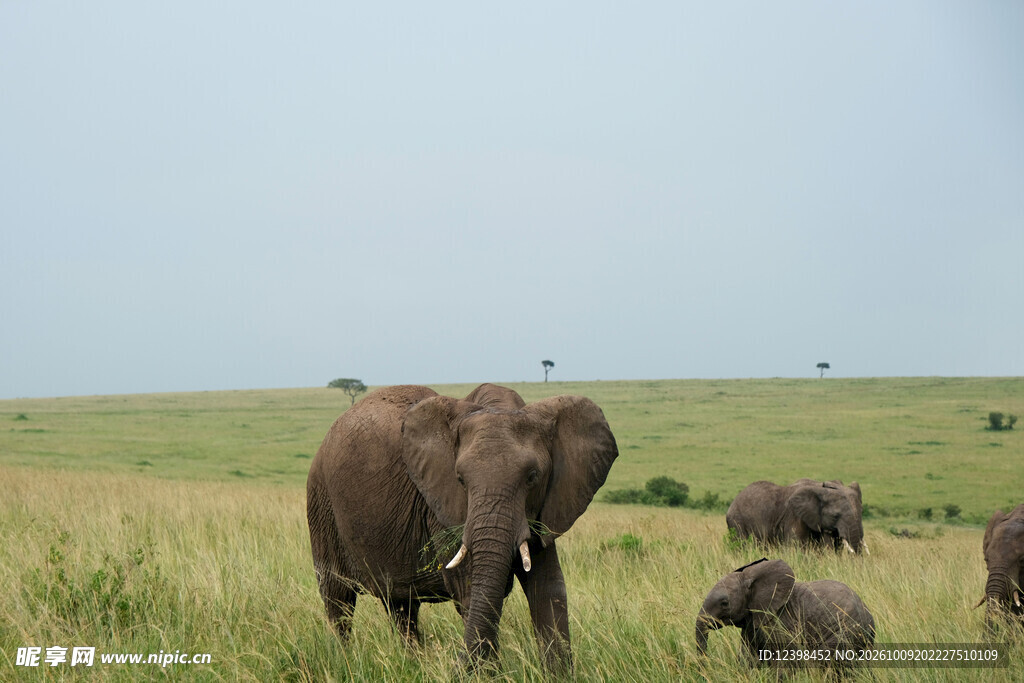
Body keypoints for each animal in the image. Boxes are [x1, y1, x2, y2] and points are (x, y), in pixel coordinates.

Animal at [306, 383, 618, 670]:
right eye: (461, 480)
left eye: (532, 477)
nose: (454, 662)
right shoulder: (442, 508)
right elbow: (470, 591)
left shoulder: (545, 506)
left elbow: (548, 588)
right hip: (321, 502)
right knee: (338, 599)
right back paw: (344, 662)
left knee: (401, 606)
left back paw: (414, 665)